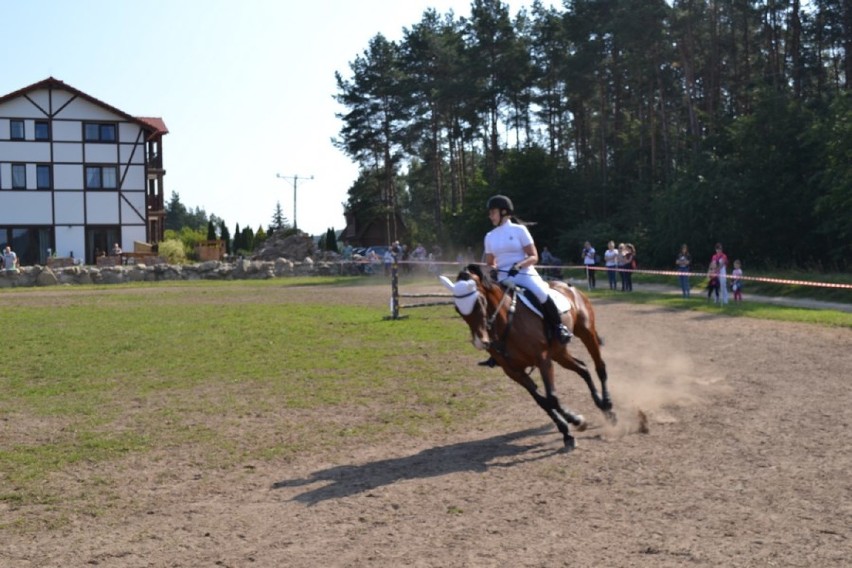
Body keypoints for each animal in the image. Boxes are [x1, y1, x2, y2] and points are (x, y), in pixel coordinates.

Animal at [442, 262, 616, 452]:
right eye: (458, 309)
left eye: (479, 302)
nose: (481, 342)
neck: (506, 321)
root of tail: (569, 287)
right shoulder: (514, 372)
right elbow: (543, 401)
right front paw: (569, 427)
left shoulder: (543, 360)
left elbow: (552, 398)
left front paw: (576, 421)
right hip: (559, 352)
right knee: (583, 368)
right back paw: (600, 404)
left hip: (586, 333)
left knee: (600, 367)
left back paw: (608, 408)